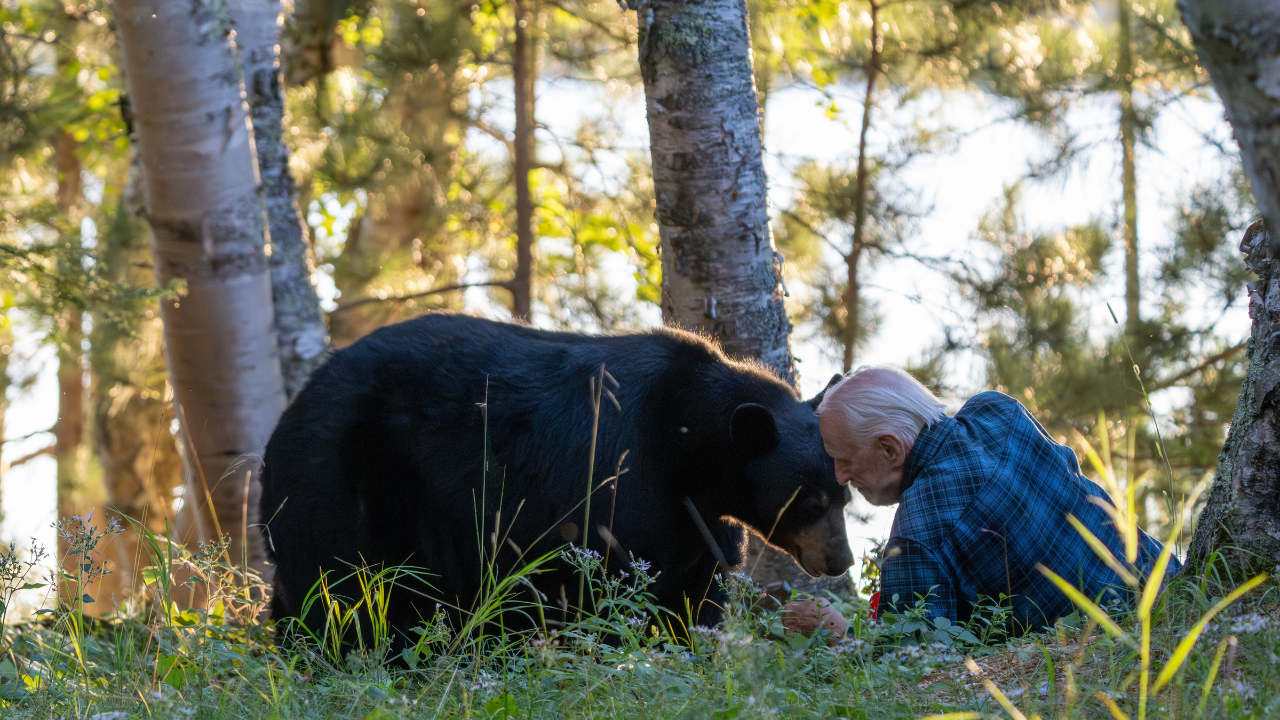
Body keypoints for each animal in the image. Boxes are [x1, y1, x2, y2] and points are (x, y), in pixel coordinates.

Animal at [261, 313, 853, 646]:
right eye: (810, 500)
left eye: (844, 497)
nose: (841, 561)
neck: (688, 442)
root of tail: (293, 407)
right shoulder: (625, 480)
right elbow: (621, 580)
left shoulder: (696, 517)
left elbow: (694, 589)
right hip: (339, 480)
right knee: (338, 583)